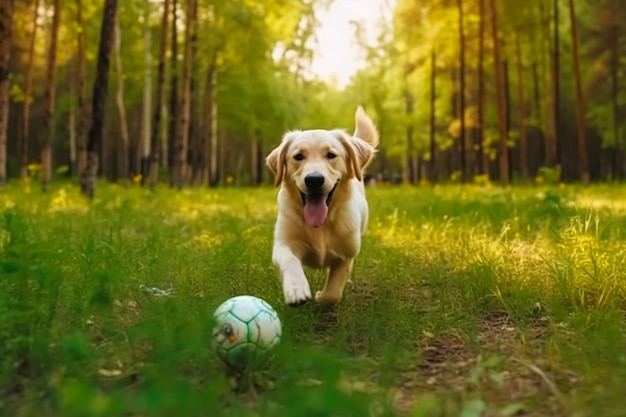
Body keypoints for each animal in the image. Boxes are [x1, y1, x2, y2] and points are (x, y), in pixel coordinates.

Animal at [262, 105, 376, 306]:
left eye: (331, 155)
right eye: (298, 156)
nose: (314, 179)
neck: (321, 226)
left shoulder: (346, 253)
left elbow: (333, 292)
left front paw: (321, 297)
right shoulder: (283, 243)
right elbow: (289, 260)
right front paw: (296, 289)